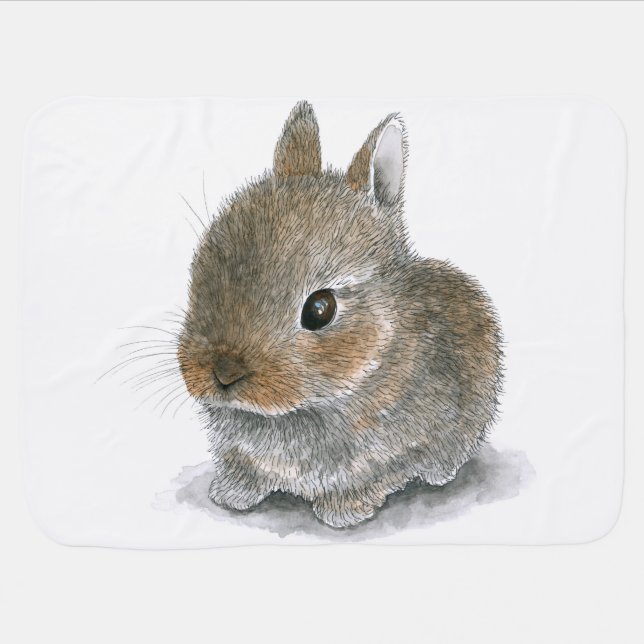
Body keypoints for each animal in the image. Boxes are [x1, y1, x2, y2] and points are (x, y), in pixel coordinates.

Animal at [177, 101, 503, 528]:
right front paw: (231, 496)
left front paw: (343, 513)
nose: (223, 373)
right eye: (202, 265)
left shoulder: (397, 452)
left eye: (320, 310)